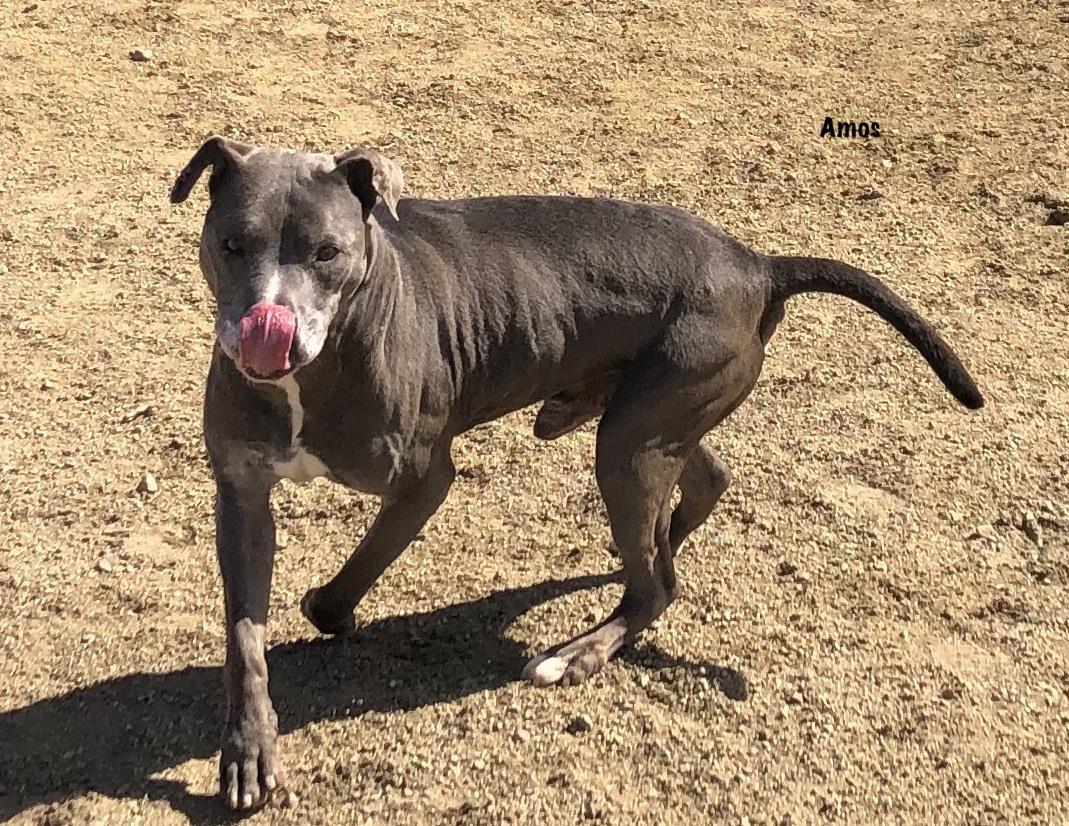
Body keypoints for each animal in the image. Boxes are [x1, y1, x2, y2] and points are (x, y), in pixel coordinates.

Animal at [171, 136, 979, 803]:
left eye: (327, 253)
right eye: (233, 243)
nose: (266, 329)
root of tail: (757, 265)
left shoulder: (421, 481)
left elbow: (353, 572)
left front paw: (329, 613)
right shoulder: (241, 493)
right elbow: (244, 636)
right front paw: (248, 749)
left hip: (631, 440)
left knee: (656, 587)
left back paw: (580, 653)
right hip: (646, 418)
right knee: (700, 486)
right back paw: (658, 545)